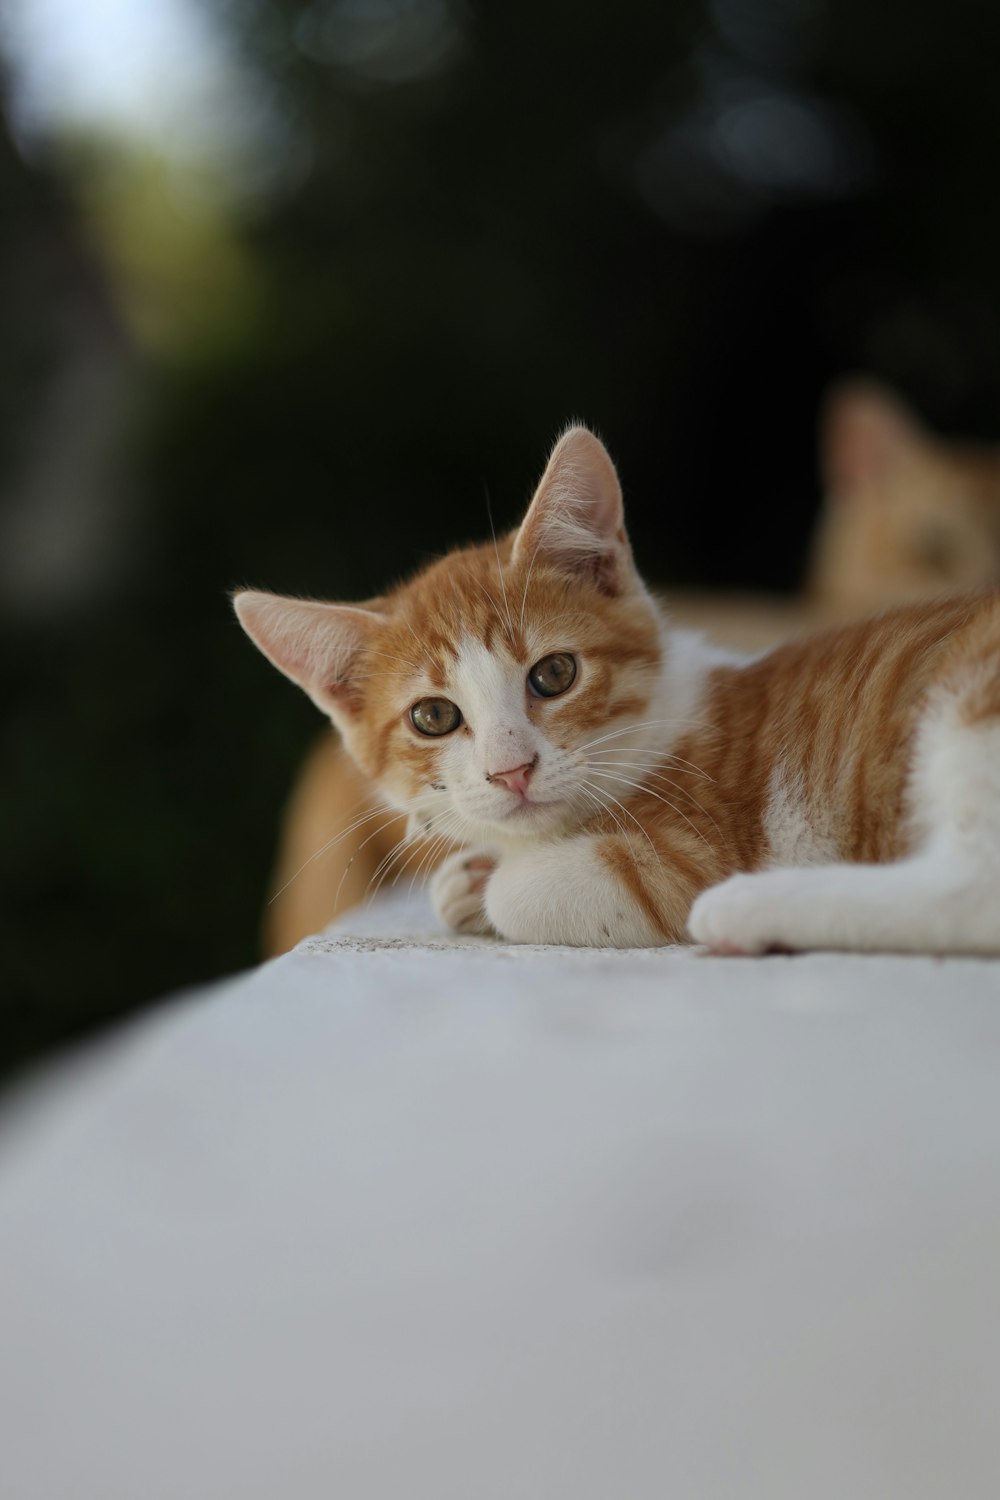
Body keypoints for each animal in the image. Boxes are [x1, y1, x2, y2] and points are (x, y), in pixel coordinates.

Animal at [254, 384, 1000, 948]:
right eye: (433, 716)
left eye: (554, 675)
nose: (511, 771)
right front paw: (465, 874)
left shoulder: (688, 851)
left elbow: (531, 889)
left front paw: (490, 880)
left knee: (971, 893)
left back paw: (746, 910)